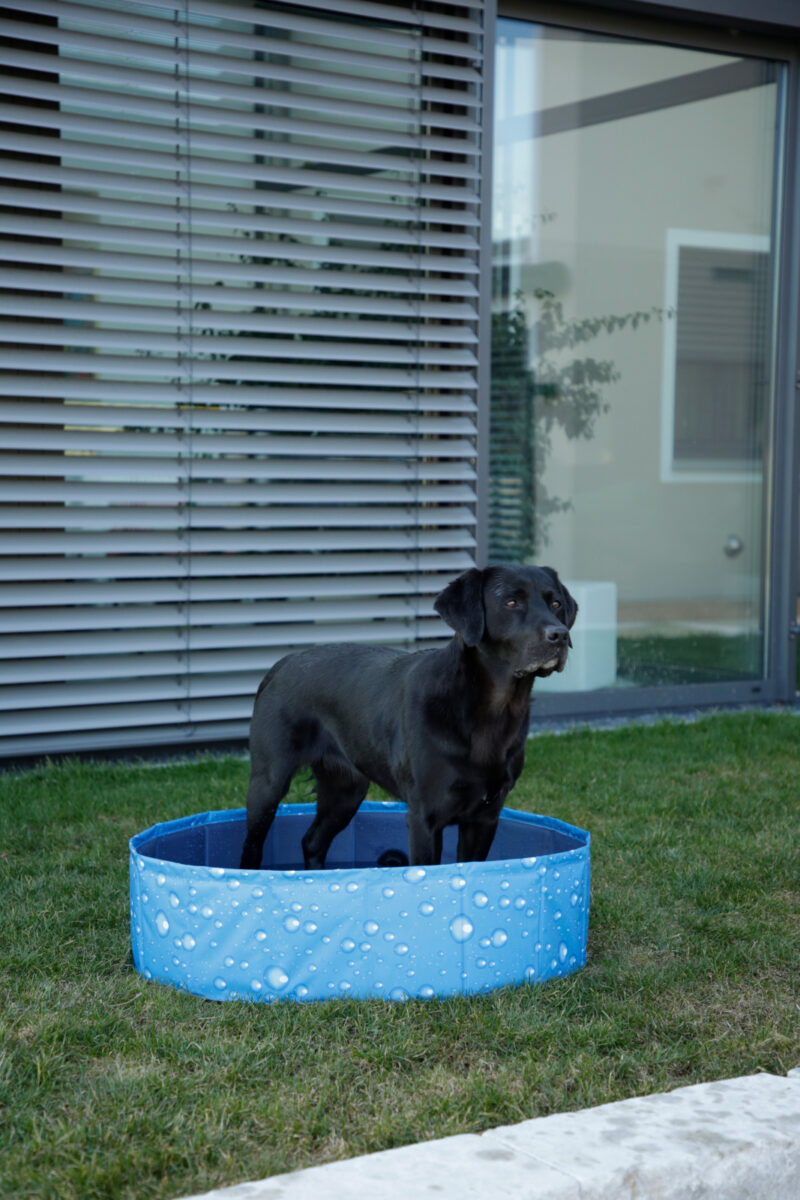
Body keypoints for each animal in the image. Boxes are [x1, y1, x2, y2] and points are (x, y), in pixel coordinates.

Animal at [241, 564, 578, 873]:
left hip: (346, 790)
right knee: (252, 845)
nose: (560, 636)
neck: (491, 711)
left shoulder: (485, 817)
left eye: (555, 604)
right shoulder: (424, 817)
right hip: (269, 781)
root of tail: (284, 662)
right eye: (511, 602)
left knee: (312, 840)